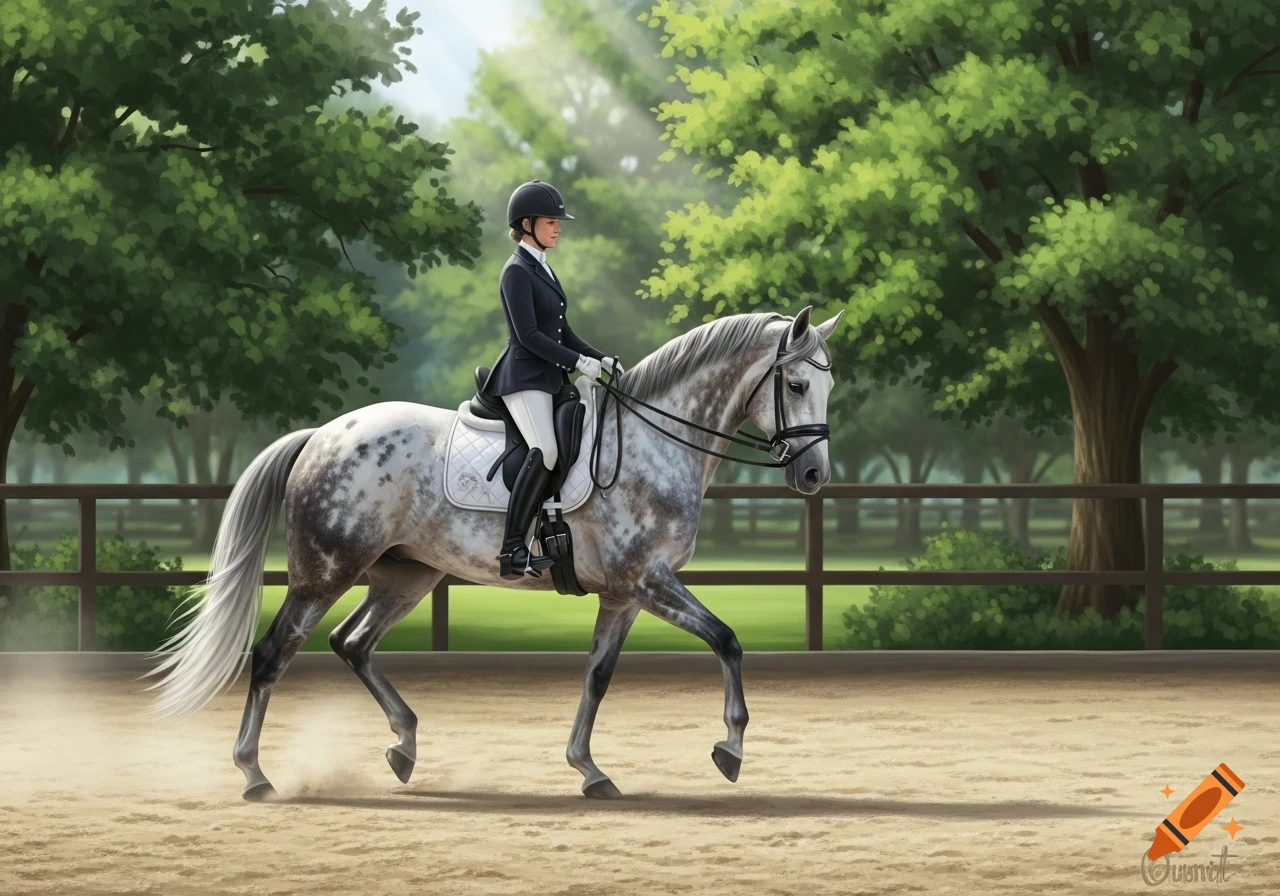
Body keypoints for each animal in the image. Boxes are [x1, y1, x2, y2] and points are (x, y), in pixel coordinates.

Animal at [143, 305, 843, 800]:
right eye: (796, 384)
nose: (814, 476)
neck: (653, 442)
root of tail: (324, 434)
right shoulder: (649, 580)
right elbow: (727, 641)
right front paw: (730, 751)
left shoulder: (624, 594)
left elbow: (598, 676)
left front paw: (589, 771)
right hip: (325, 571)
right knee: (273, 654)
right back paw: (254, 776)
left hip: (407, 576)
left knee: (352, 643)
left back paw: (404, 748)